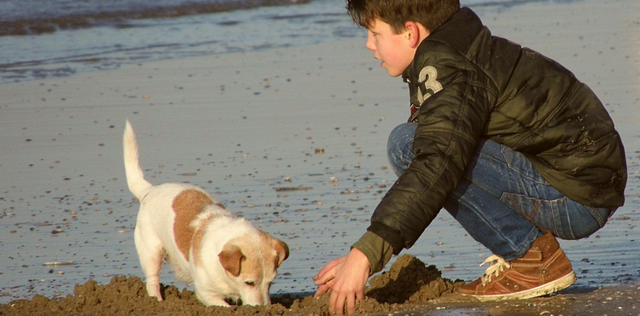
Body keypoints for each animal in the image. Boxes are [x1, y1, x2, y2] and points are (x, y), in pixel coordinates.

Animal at [122, 119, 288, 306]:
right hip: (151, 252)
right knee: (152, 279)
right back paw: (156, 300)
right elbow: (224, 306)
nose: (263, 308)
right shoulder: (206, 294)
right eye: (249, 283)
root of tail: (150, 190)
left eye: (271, 282)